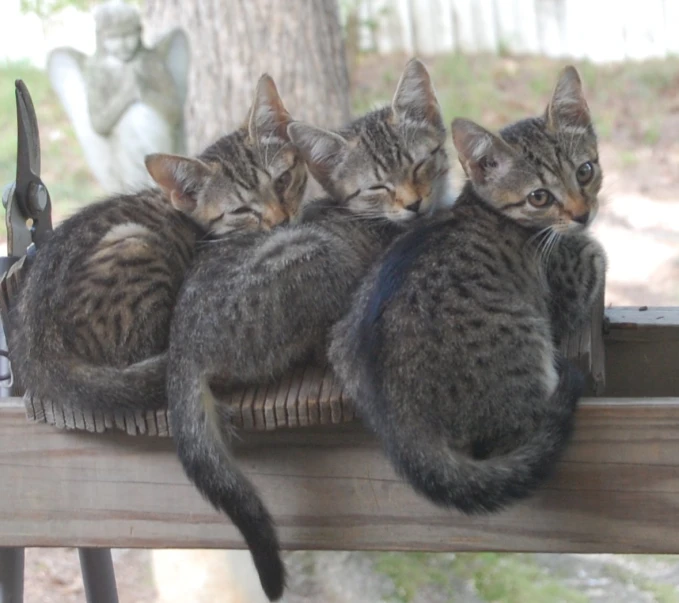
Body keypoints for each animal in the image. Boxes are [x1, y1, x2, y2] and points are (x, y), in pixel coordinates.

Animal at [328, 67, 604, 520]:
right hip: (525, 344)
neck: (479, 202)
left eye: (584, 171)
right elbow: (598, 256)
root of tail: (401, 423)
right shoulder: (574, 275)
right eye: (539, 197)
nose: (583, 214)